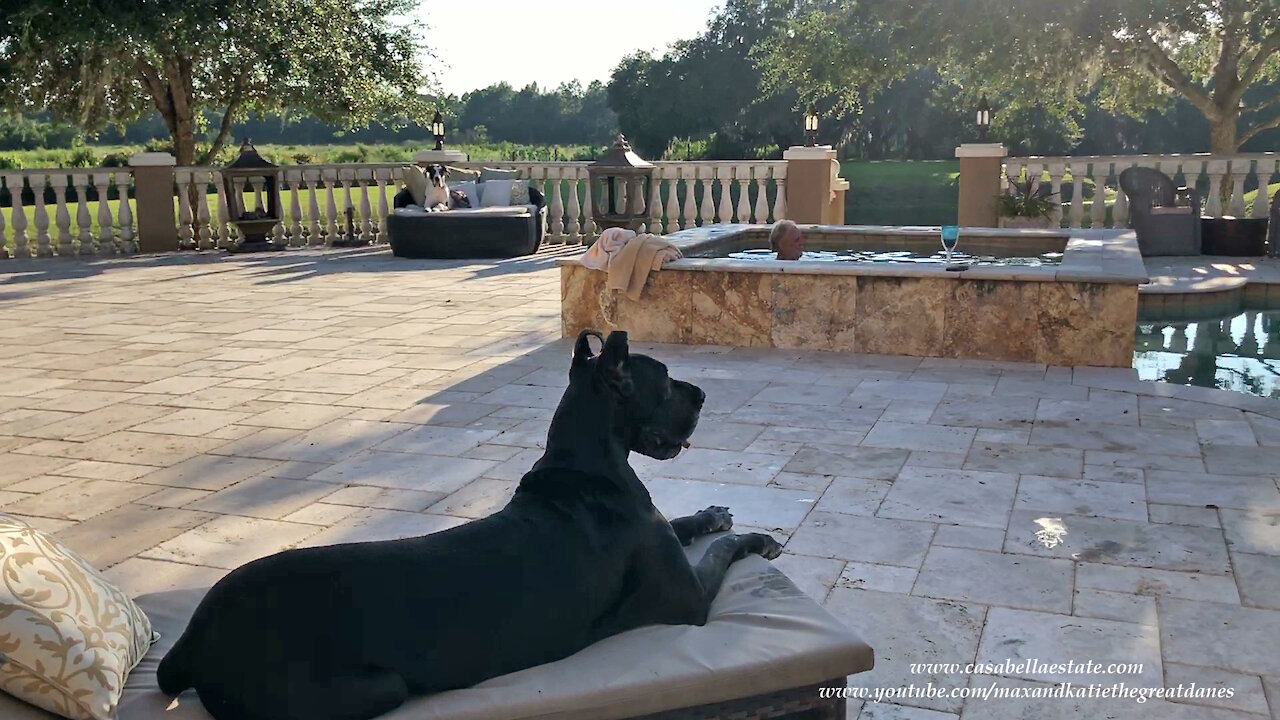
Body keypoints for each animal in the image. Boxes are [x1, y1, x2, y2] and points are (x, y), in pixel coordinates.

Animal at [158, 330, 778, 717]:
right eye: (666, 379)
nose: (703, 394)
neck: (586, 463)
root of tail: (193, 640)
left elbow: (684, 522)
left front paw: (711, 513)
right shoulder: (689, 598)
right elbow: (722, 553)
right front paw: (757, 537)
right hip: (373, 687)